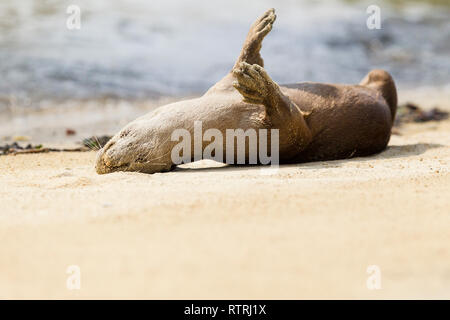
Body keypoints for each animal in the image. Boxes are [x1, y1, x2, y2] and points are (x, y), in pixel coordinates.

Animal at [96, 8, 398, 175]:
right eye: (137, 162)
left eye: (121, 136)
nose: (105, 164)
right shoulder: (282, 139)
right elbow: (297, 130)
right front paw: (261, 88)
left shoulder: (221, 85)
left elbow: (244, 58)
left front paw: (260, 28)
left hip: (380, 74)